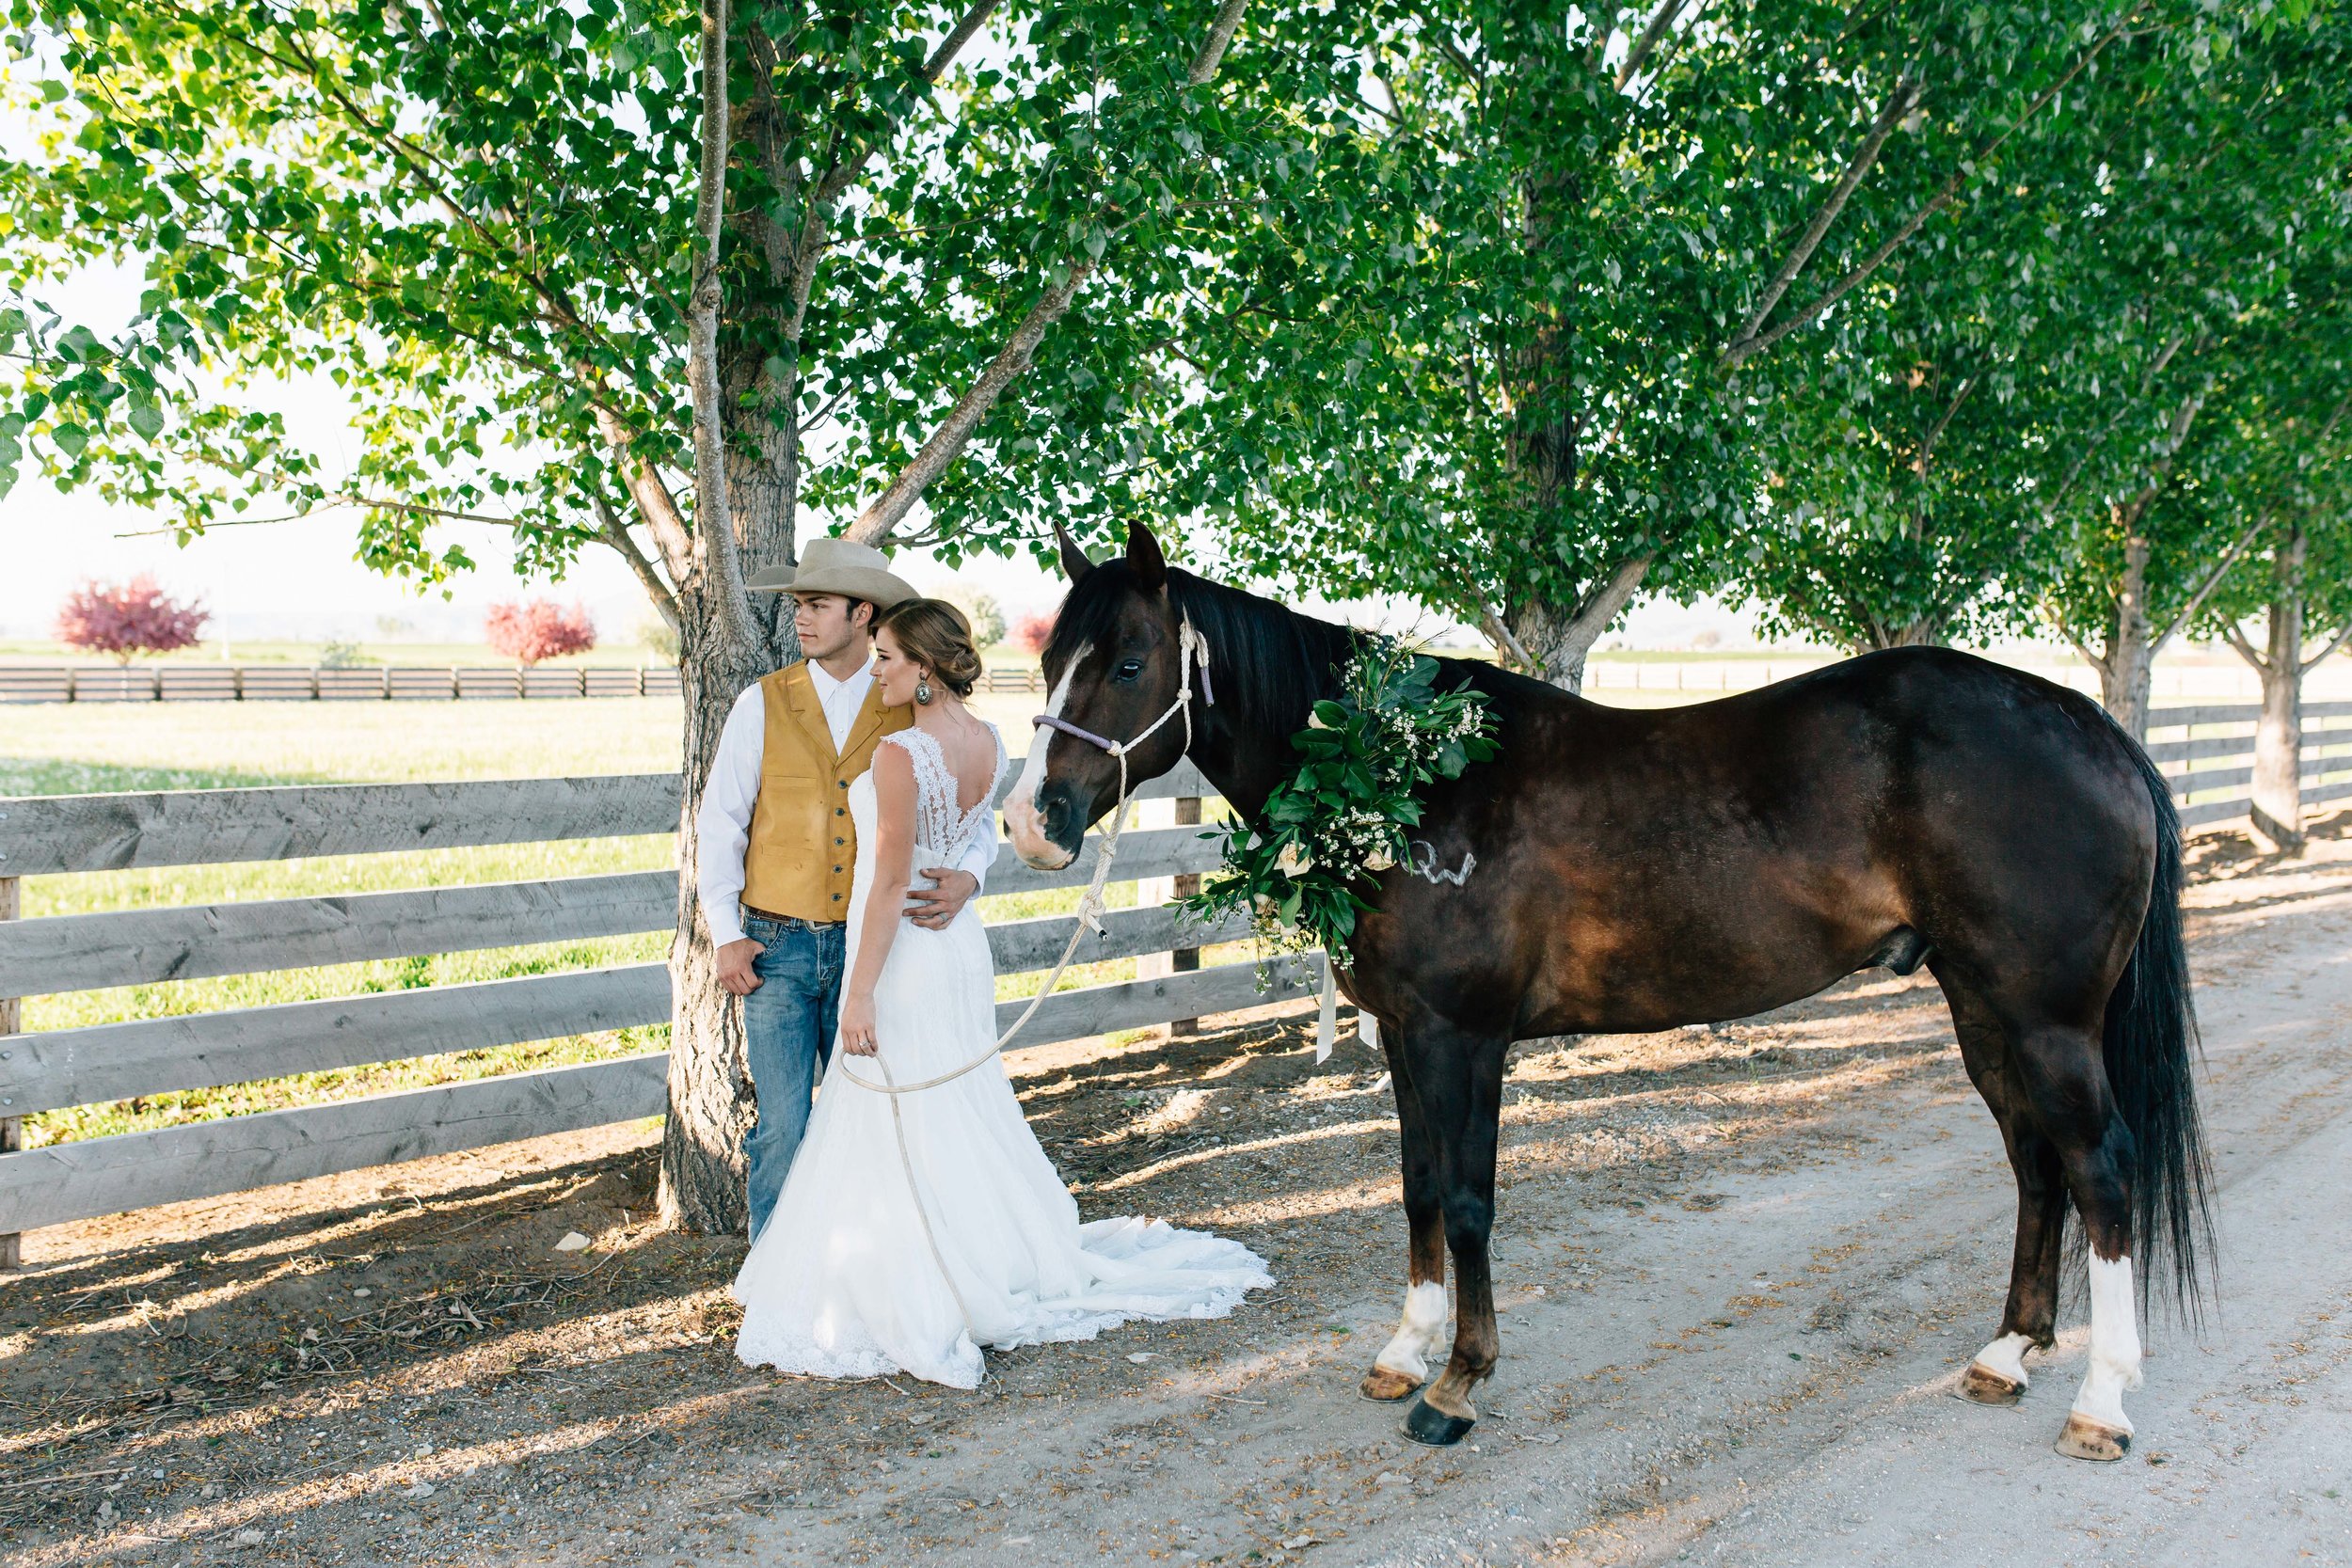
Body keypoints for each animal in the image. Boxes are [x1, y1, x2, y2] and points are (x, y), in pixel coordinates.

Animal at [1002, 524, 2211, 1457]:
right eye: (1051, 654)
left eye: (1126, 663)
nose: (1031, 823)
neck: (1415, 777)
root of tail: (2096, 731)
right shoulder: (1404, 1035)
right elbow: (1417, 1187)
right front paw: (1404, 1350)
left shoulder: (1463, 1037)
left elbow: (1470, 1198)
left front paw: (1458, 1383)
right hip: (1981, 1007)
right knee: (2034, 1163)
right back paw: (2006, 1353)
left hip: (2048, 1021)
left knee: (2100, 1170)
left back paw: (2100, 1400)